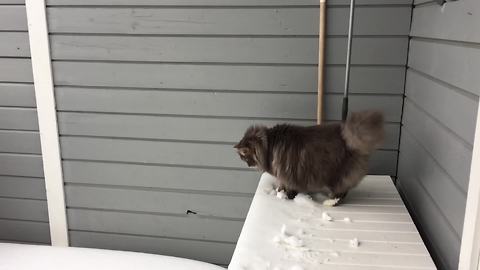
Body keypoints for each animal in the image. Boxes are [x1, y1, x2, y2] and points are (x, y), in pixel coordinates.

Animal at [234, 110, 384, 206]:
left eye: (243, 156)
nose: (247, 164)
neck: (269, 145)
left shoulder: (287, 174)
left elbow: (289, 189)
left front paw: (286, 197)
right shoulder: (283, 175)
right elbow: (281, 186)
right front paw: (279, 192)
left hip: (337, 174)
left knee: (341, 192)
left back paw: (329, 202)